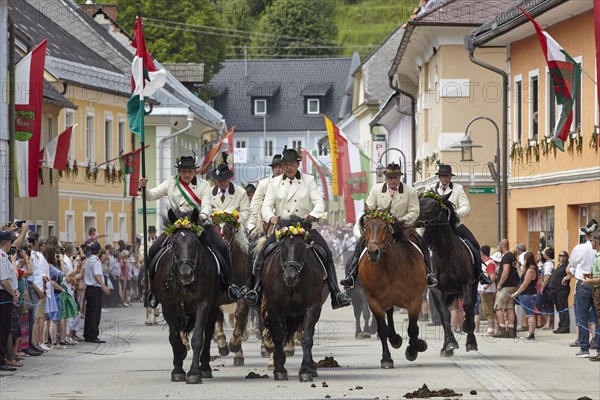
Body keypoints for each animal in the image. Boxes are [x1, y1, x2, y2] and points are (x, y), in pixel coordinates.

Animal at [152, 208, 223, 382]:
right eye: (174, 242)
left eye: (195, 242)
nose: (186, 273)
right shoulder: (168, 308)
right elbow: (174, 339)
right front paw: (177, 370)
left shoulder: (203, 305)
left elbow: (198, 338)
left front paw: (194, 372)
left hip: (213, 307)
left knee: (208, 332)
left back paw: (205, 367)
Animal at [212, 219, 250, 366]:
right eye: (215, 227)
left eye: (229, 227)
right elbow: (218, 317)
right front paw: (222, 344)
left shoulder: (243, 293)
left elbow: (240, 314)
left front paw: (235, 344)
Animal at [262, 216, 328, 382]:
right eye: (282, 245)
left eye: (301, 245)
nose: (290, 276)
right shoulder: (273, 307)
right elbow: (278, 336)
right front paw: (279, 369)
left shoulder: (312, 307)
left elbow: (307, 338)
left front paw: (305, 370)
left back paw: (311, 367)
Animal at [358, 208, 428, 368]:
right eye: (366, 227)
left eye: (385, 227)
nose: (373, 252)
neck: (389, 267)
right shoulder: (374, 301)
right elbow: (382, 330)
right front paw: (386, 358)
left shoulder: (415, 300)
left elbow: (413, 328)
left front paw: (415, 348)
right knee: (389, 317)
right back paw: (395, 339)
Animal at [420, 193, 480, 356]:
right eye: (419, 201)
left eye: (434, 204)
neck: (446, 253)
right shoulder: (437, 289)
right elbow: (445, 314)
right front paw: (450, 344)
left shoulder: (467, 283)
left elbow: (468, 306)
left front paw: (467, 328)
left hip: (473, 287)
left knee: (470, 306)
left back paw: (471, 341)